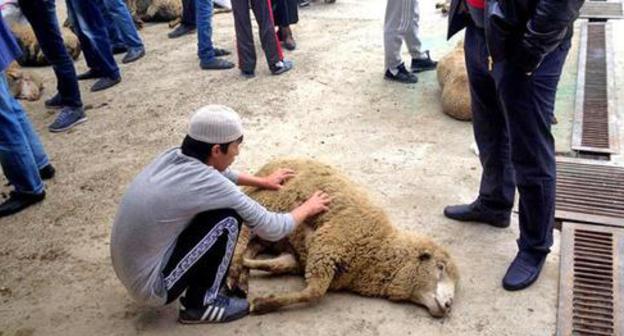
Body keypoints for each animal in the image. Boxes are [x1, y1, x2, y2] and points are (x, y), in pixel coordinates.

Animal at [227, 159, 460, 318]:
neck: (379, 248)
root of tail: (272, 163)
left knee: (250, 245)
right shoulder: (326, 246)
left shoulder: (305, 258)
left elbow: (277, 265)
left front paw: (251, 273)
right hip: (263, 203)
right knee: (242, 234)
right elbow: (314, 293)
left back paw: (242, 278)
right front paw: (262, 304)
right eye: (440, 267)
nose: (449, 305)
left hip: (268, 234)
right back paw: (232, 274)